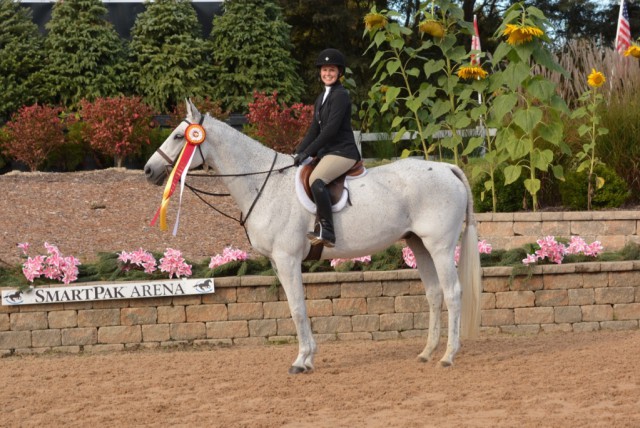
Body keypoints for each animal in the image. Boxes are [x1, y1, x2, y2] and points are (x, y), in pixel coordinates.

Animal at [145, 100, 482, 374]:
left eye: (179, 136)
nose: (149, 170)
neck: (265, 184)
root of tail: (447, 168)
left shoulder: (287, 258)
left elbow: (297, 308)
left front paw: (301, 361)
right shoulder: (279, 262)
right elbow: (298, 307)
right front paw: (307, 358)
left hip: (440, 246)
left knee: (452, 293)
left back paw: (448, 356)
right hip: (418, 244)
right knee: (434, 293)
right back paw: (426, 353)